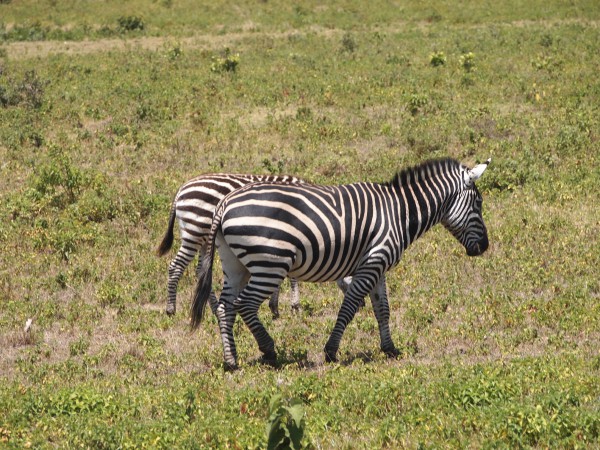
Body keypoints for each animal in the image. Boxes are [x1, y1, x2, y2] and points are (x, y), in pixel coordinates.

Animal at [157, 172, 308, 316]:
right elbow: (291, 275)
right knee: (176, 266)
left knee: (201, 270)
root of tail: (182, 189)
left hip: (205, 237)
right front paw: (295, 306)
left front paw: (275, 306)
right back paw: (171, 309)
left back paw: (213, 309)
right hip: (195, 231)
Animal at [192, 158, 492, 370]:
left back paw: (231, 361)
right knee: (245, 304)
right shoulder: (372, 262)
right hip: (270, 264)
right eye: (478, 203)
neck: (400, 212)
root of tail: (224, 203)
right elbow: (348, 309)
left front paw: (389, 348)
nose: (485, 247)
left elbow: (382, 310)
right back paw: (269, 351)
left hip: (235, 264)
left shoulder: (378, 265)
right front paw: (331, 351)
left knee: (225, 306)